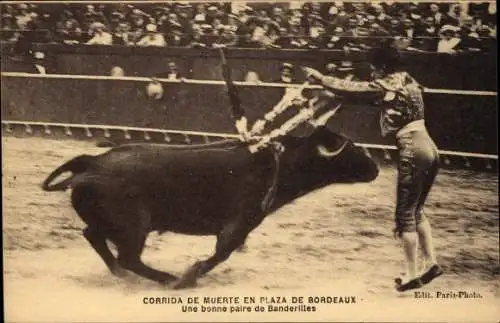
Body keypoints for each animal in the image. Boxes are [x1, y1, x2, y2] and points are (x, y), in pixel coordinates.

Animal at [42, 125, 378, 290]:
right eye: (351, 148)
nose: (375, 168)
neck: (277, 164)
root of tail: (91, 161)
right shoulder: (238, 224)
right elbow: (220, 254)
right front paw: (189, 276)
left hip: (113, 224)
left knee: (94, 237)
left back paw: (121, 275)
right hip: (134, 227)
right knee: (128, 257)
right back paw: (169, 279)